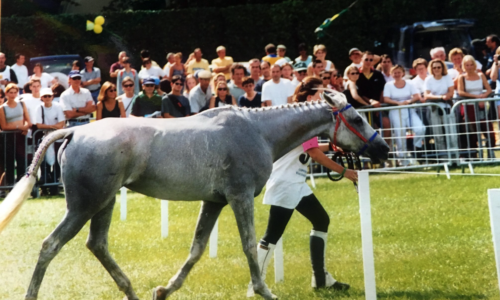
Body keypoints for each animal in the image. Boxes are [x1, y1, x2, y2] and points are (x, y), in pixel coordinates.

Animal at [0, 92, 388, 298]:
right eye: (357, 118)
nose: (382, 149)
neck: (257, 131)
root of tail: (73, 133)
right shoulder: (239, 197)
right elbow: (251, 245)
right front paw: (264, 290)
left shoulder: (214, 201)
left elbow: (197, 249)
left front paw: (164, 289)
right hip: (84, 206)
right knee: (50, 245)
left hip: (104, 204)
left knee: (97, 245)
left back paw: (133, 291)